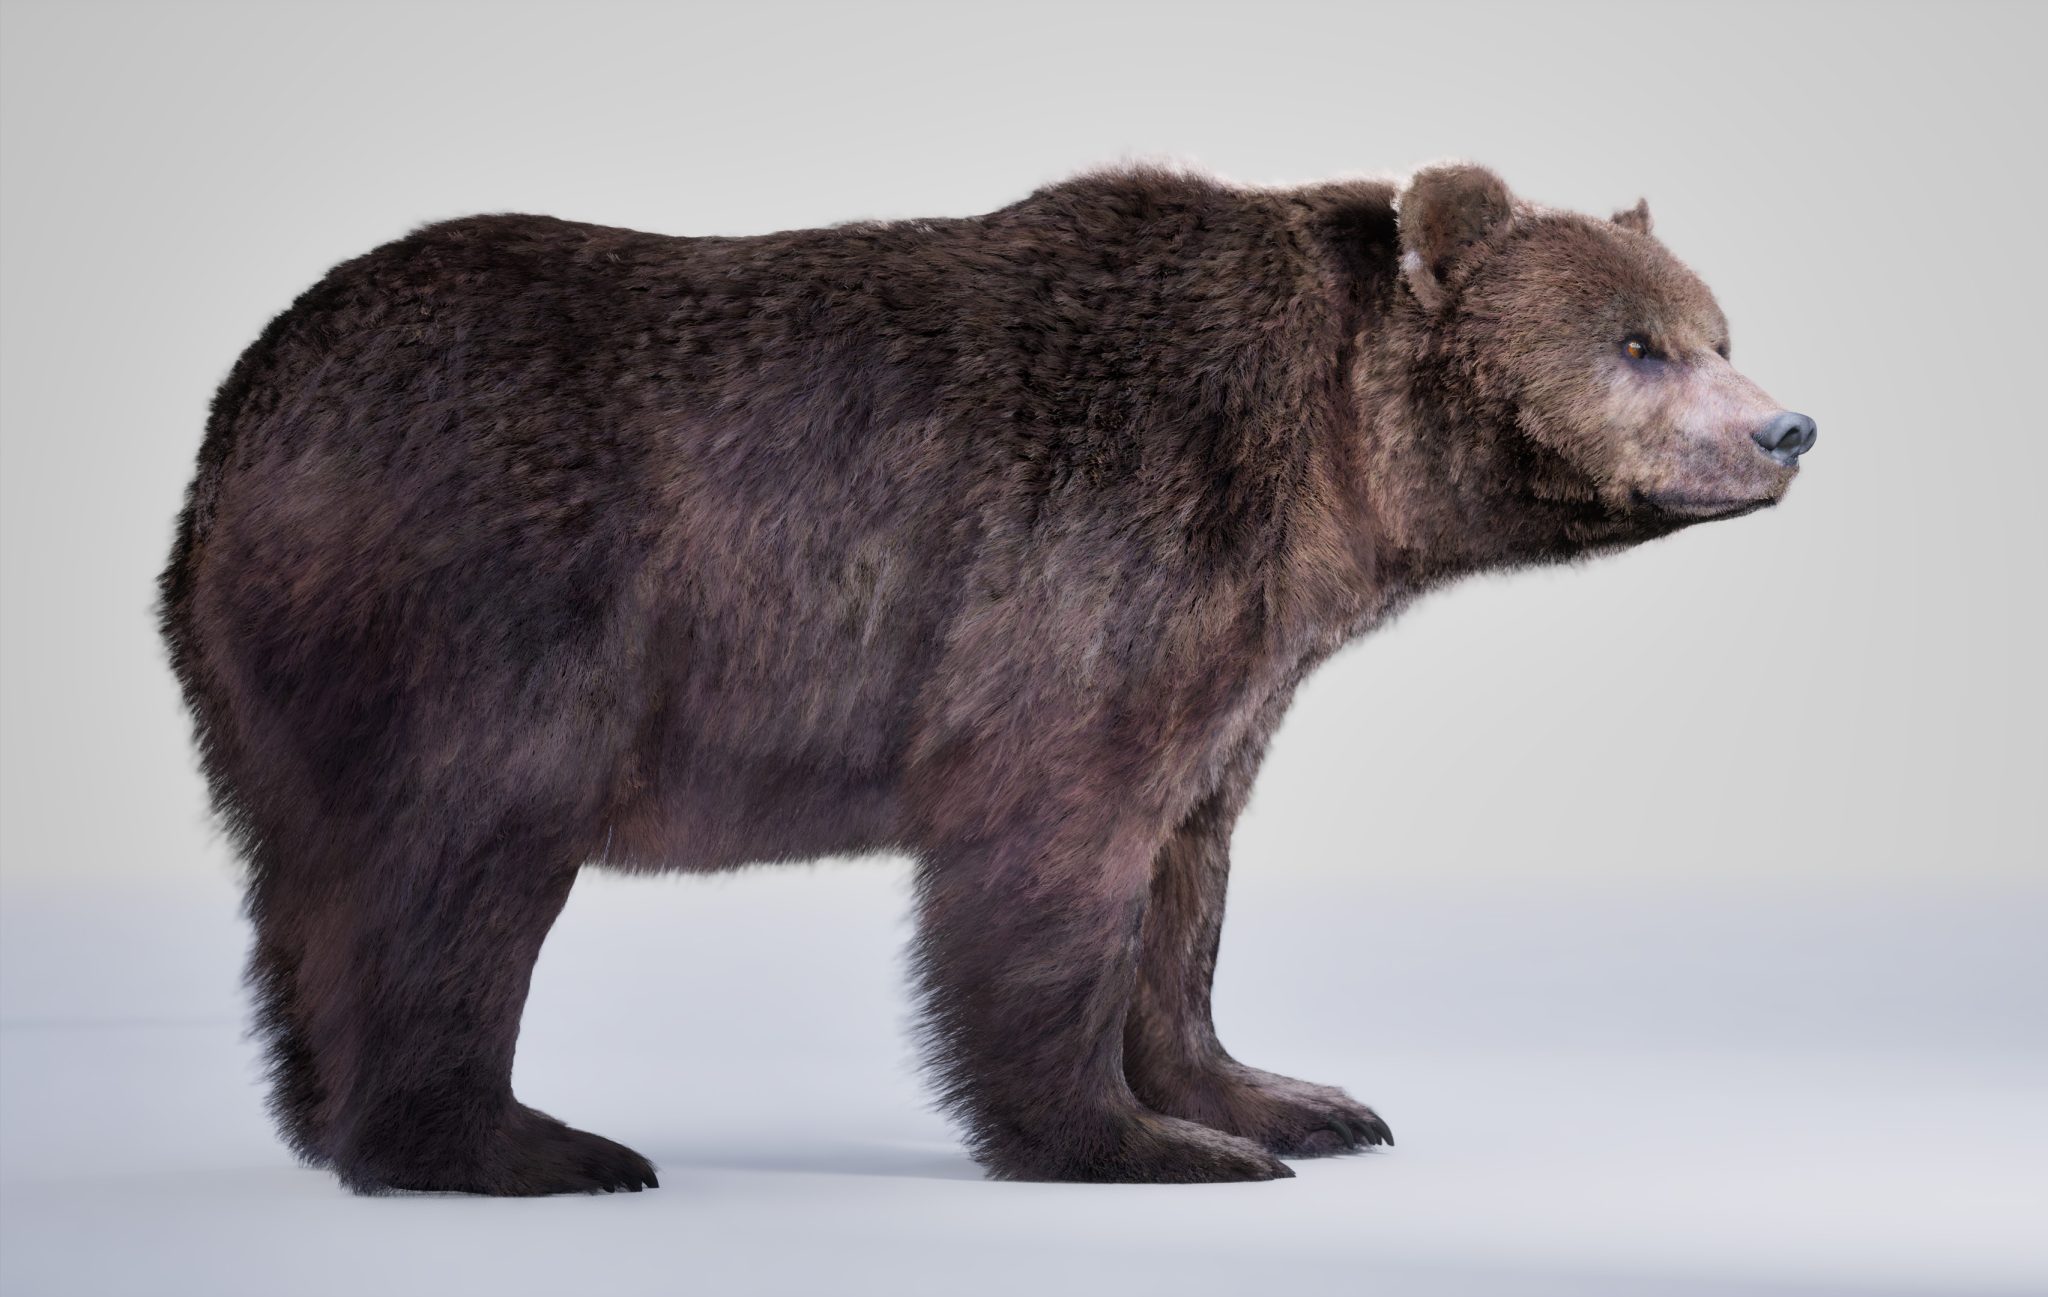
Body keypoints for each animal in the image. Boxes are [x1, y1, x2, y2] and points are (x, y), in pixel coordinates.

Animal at [158, 163, 1813, 1195]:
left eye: (1718, 326)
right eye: (1639, 342)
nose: (1787, 427)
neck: (1324, 482)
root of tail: (244, 403)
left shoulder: (1245, 654)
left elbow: (1188, 872)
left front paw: (1285, 1097)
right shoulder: (1097, 557)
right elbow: (1053, 848)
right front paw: (1138, 1140)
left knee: (316, 883)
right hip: (488, 605)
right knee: (459, 857)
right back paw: (522, 1146)